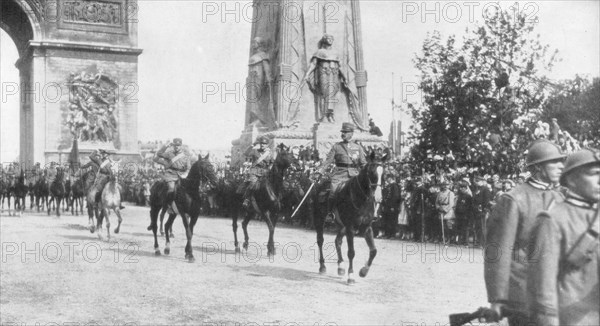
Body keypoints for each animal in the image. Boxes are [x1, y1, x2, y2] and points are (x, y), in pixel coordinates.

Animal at [312, 152, 386, 284]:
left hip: (342, 226)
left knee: (337, 241)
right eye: (372, 172)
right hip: (319, 219)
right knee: (320, 241)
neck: (361, 198)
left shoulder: (366, 227)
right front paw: (351, 275)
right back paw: (322, 266)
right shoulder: (351, 228)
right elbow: (351, 252)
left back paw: (340, 267)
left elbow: (373, 251)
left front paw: (363, 271)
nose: (378, 197)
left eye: (384, 174)